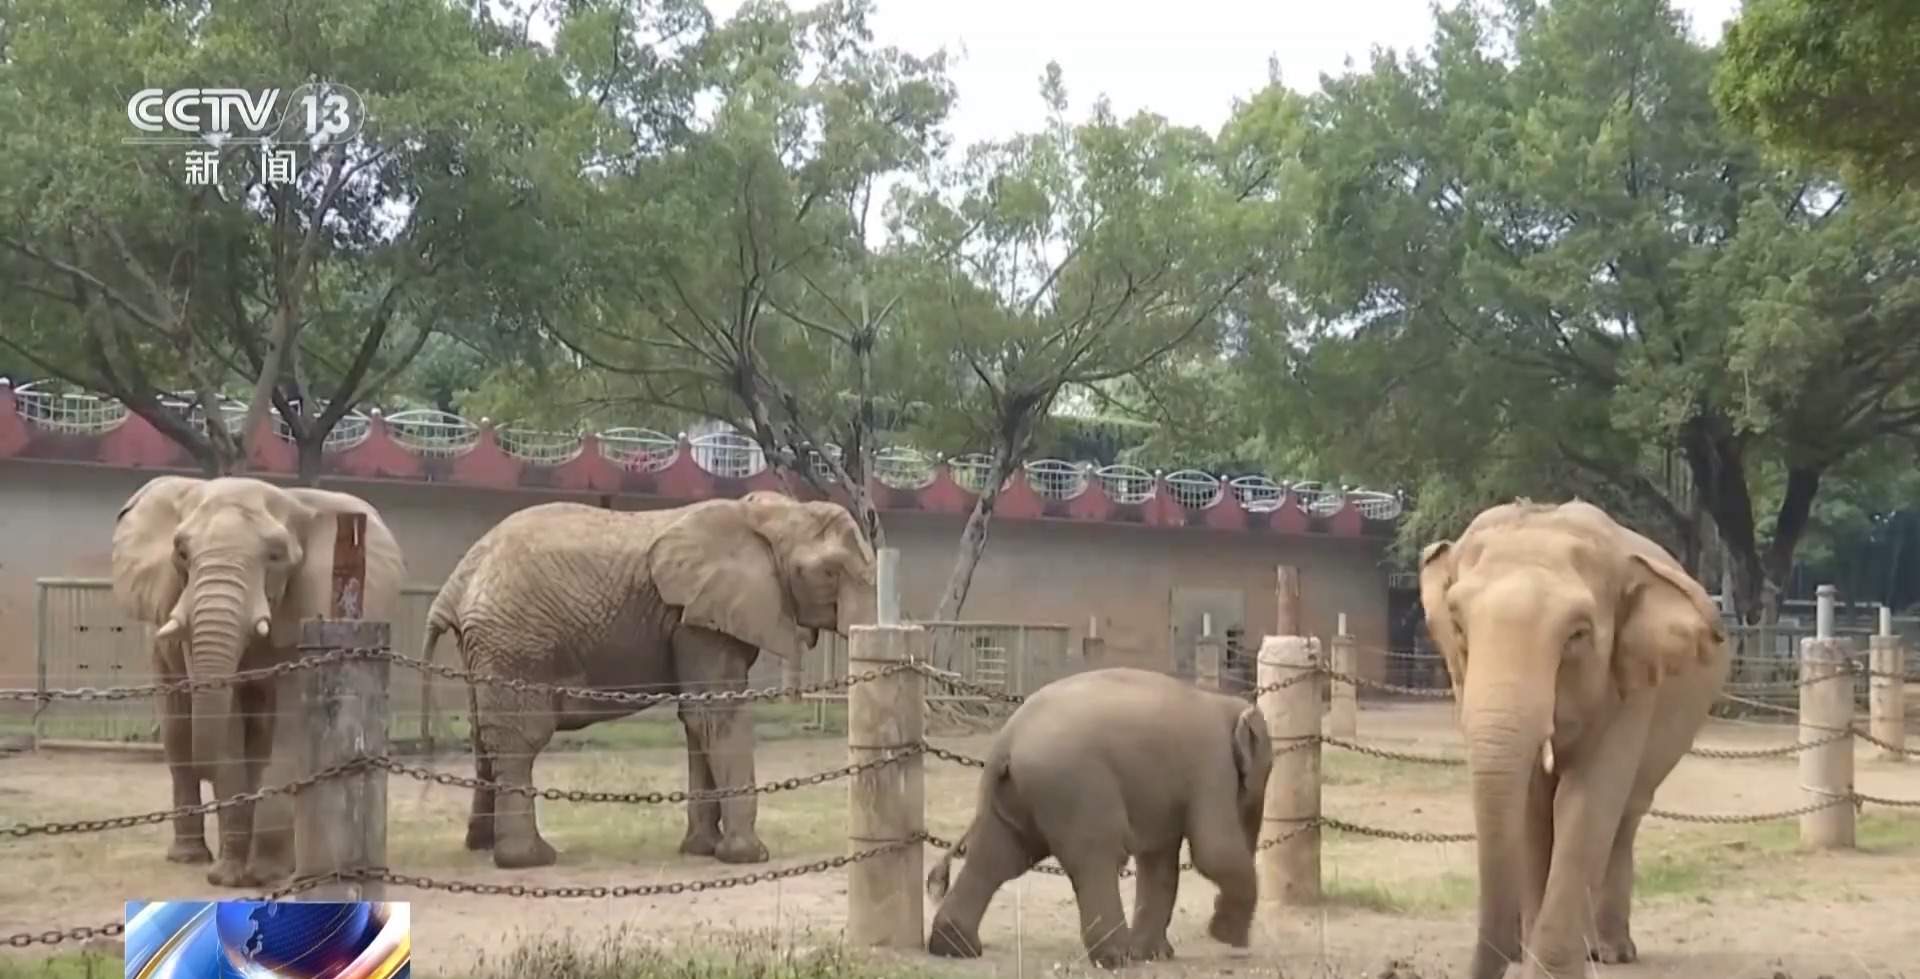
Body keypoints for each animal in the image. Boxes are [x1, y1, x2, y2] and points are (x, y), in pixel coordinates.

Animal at [111, 475, 405, 887]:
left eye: (277, 556)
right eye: (181, 552)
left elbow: (290, 727)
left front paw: (264, 874)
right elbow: (228, 727)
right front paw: (230, 877)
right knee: (178, 735)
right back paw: (190, 857)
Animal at [421, 490, 875, 869]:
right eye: (830, 572)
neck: (763, 514)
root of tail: (453, 588)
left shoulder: (701, 614)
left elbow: (698, 721)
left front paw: (702, 850)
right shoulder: (698, 616)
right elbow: (718, 715)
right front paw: (749, 856)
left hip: (487, 648)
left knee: (483, 736)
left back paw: (481, 846)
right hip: (516, 643)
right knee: (520, 740)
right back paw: (530, 859)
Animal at [925, 667, 1273, 968]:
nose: (1240, 947)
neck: (1225, 703)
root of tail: (1006, 742)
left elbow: (1159, 861)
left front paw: (1155, 955)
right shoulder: (1212, 766)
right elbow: (1214, 851)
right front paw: (1226, 936)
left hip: (1013, 795)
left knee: (997, 857)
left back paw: (955, 948)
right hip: (1075, 787)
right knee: (1096, 857)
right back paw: (1117, 959)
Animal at [1417, 499, 1729, 979]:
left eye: (1578, 635)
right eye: (1457, 624)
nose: (1507, 958)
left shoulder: (1630, 685)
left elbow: (1585, 804)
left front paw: (1547, 972)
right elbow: (1531, 812)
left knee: (1625, 815)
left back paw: (1610, 952)